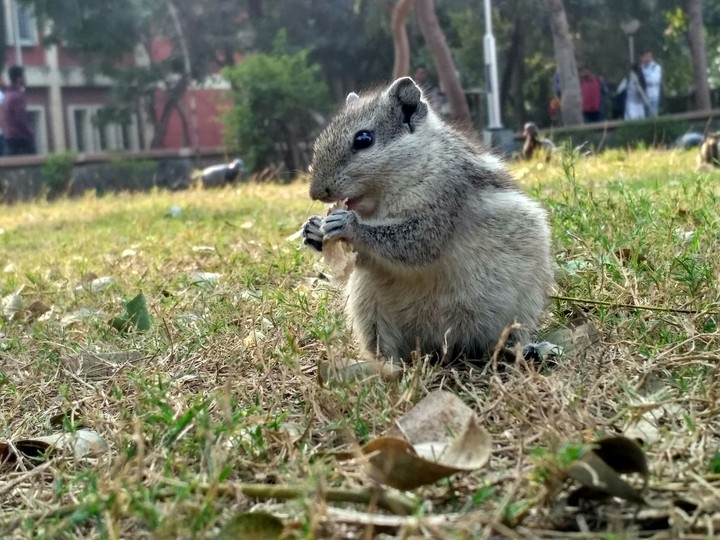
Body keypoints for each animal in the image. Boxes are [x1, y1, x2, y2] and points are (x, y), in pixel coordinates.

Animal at [301, 77, 554, 364]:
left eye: (363, 139)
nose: (315, 193)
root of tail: (443, 346)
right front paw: (312, 230)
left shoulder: (444, 199)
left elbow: (416, 242)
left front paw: (348, 225)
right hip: (369, 308)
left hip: (522, 304)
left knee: (510, 336)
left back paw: (521, 348)